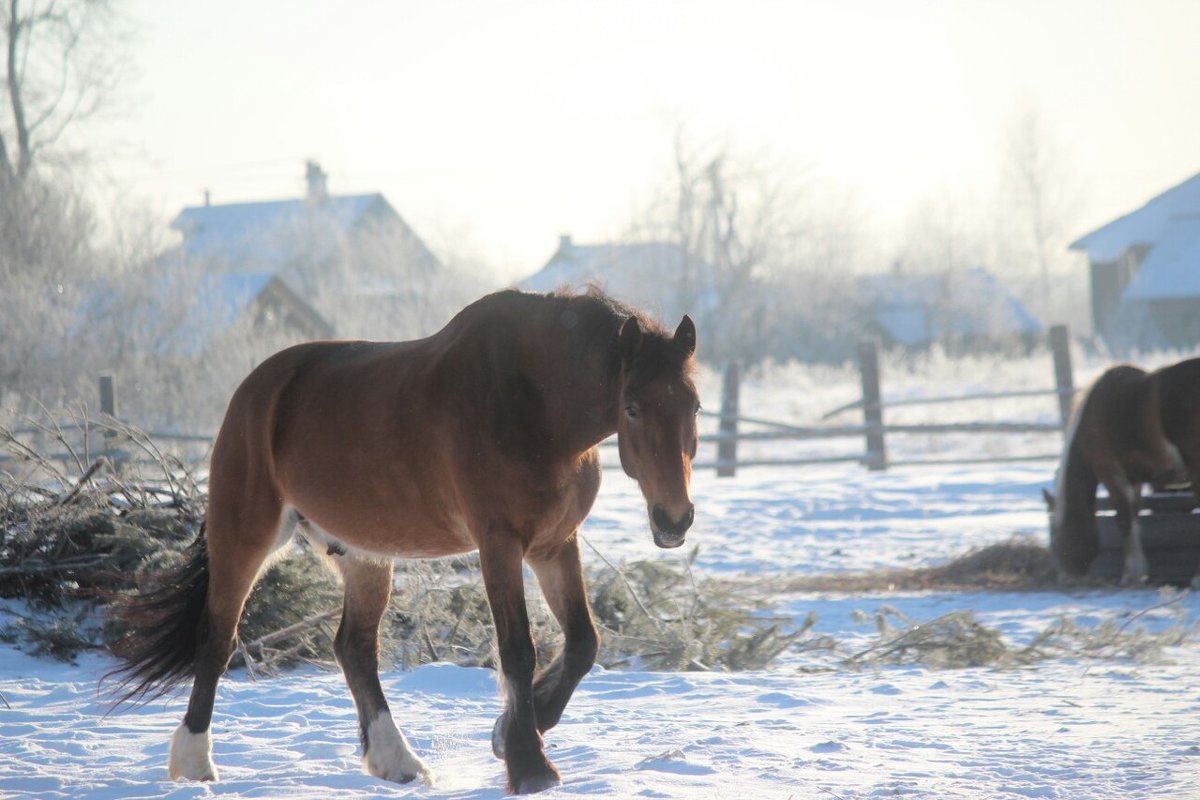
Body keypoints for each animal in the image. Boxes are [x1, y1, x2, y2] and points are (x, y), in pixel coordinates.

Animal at [110, 289, 700, 796]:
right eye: (632, 407)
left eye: (693, 406)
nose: (674, 520)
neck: (533, 406)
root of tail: (255, 390)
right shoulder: (499, 544)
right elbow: (517, 648)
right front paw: (529, 763)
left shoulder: (554, 545)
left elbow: (583, 642)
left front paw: (511, 732)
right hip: (246, 535)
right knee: (217, 638)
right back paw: (195, 764)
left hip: (364, 557)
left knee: (354, 648)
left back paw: (397, 761)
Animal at [1046, 357, 1195, 582]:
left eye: (1055, 543)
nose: (1064, 577)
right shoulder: (1134, 479)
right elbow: (1135, 517)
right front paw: (1140, 571)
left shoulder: (1111, 474)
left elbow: (1125, 521)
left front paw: (1131, 573)